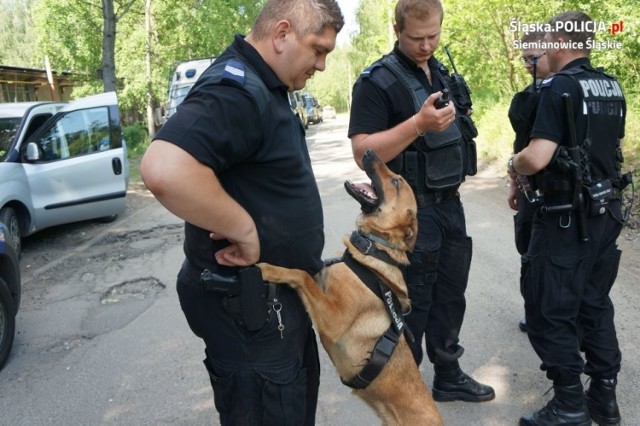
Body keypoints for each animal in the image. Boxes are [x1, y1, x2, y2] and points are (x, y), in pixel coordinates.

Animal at [258, 150, 442, 426]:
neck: (372, 250)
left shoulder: (333, 319)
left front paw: (270, 269)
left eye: (396, 181)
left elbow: (302, 275)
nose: (369, 152)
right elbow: (311, 273)